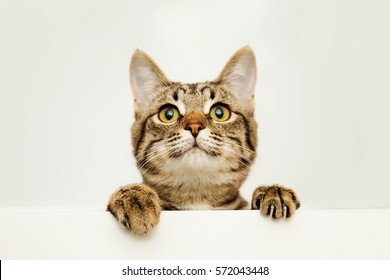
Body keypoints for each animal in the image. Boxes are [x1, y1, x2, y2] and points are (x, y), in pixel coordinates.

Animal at [105, 46, 300, 234]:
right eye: (168, 114)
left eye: (219, 112)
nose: (194, 126)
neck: (197, 200)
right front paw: (135, 196)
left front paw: (273, 191)